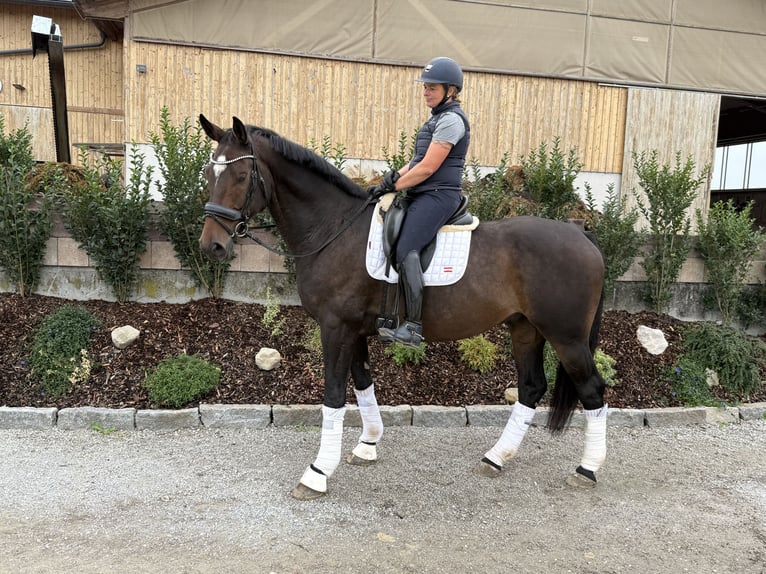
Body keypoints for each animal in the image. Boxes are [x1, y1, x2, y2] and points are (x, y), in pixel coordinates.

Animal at [198, 115, 608, 500]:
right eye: (208, 173)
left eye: (240, 175)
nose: (211, 246)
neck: (335, 228)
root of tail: (581, 235)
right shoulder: (354, 330)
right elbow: (363, 382)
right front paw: (367, 445)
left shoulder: (335, 327)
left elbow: (334, 395)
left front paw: (316, 473)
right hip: (525, 328)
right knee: (531, 387)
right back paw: (496, 457)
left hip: (567, 337)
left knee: (592, 389)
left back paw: (586, 469)